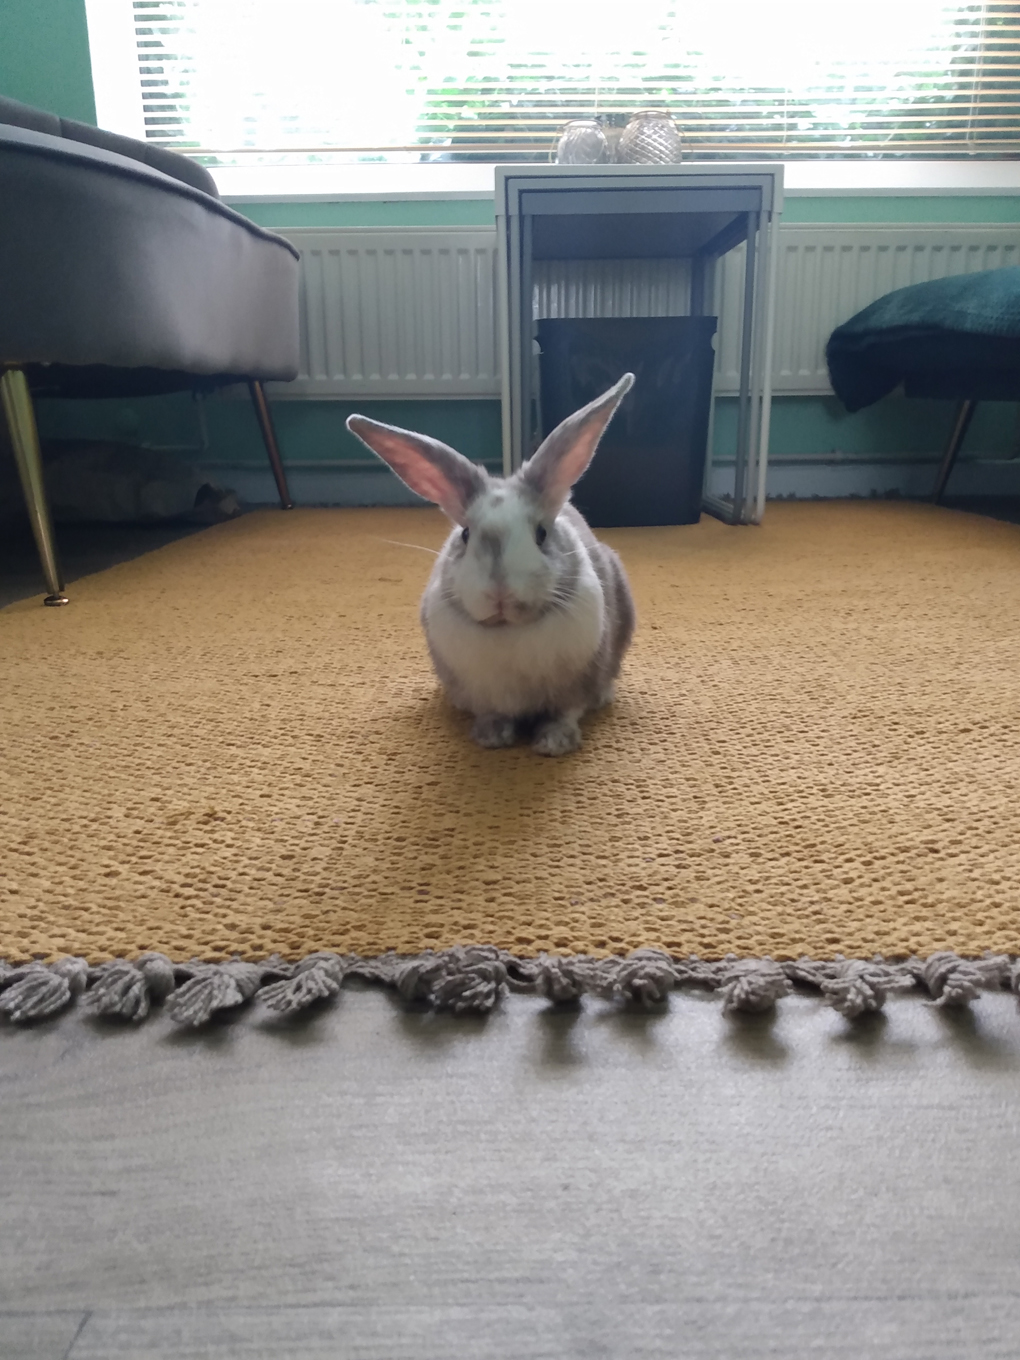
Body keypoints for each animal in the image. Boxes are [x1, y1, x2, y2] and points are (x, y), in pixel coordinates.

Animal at [350, 372, 639, 756]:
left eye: (541, 534)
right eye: (465, 534)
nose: (500, 592)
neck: (508, 632)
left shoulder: (575, 685)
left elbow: (565, 711)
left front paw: (554, 744)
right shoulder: (483, 694)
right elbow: (492, 713)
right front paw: (491, 738)